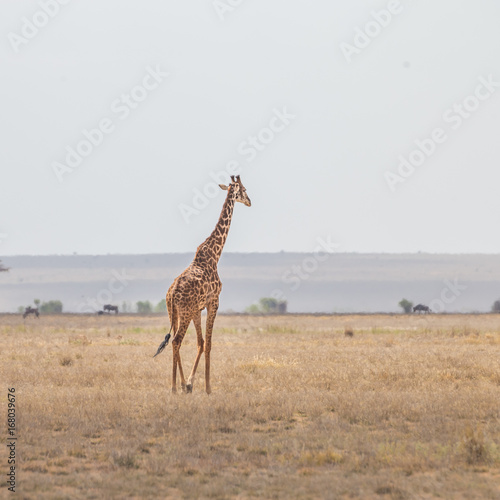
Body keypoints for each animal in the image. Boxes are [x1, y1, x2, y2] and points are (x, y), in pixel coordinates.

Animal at [154, 176, 252, 394]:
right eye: (244, 189)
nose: (250, 201)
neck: (215, 253)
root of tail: (171, 294)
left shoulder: (198, 309)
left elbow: (200, 342)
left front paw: (191, 384)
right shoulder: (213, 302)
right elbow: (209, 343)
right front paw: (207, 388)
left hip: (175, 312)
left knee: (175, 341)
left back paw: (180, 385)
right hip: (185, 312)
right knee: (176, 341)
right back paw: (174, 387)